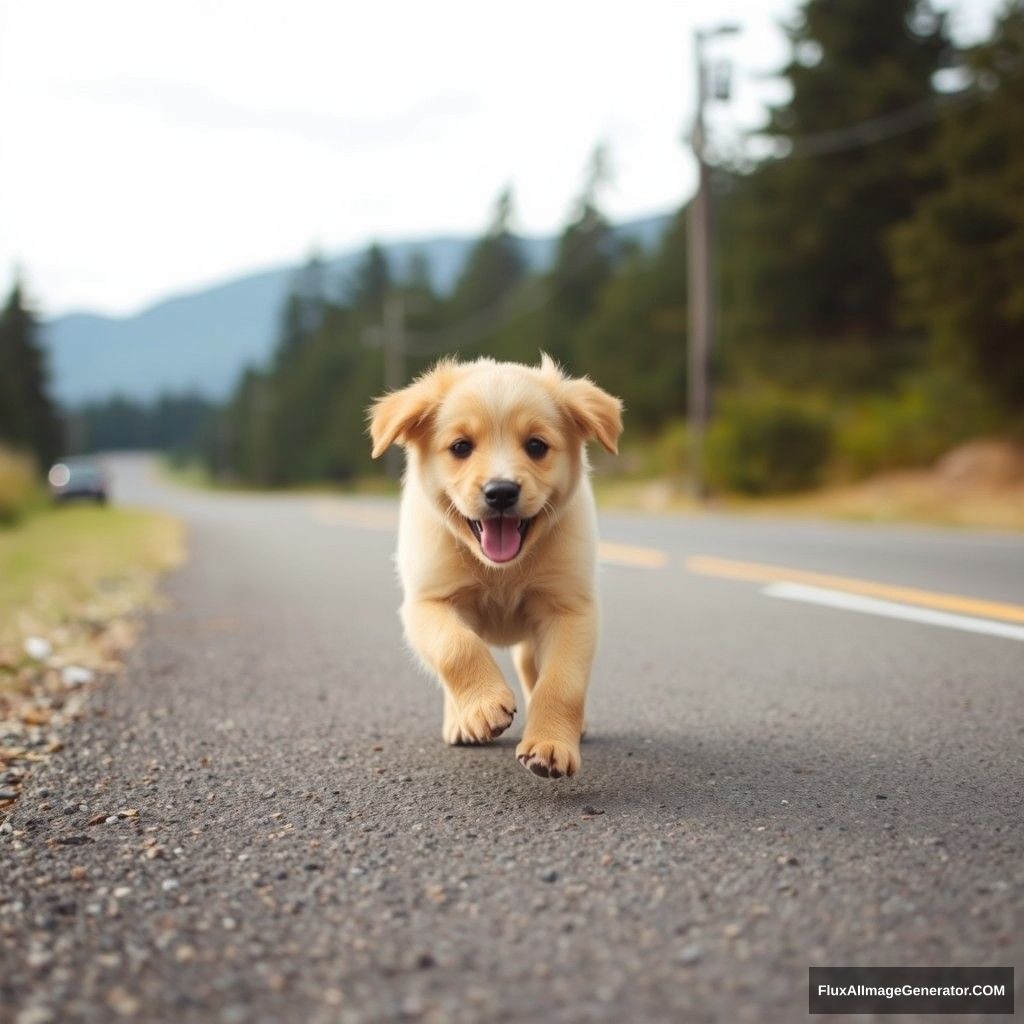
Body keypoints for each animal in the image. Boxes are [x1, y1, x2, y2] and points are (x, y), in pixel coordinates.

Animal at [370, 356, 622, 778]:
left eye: (536, 446)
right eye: (461, 447)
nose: (501, 492)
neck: (502, 570)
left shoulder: (570, 608)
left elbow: (561, 683)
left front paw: (551, 743)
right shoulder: (427, 602)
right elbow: (457, 647)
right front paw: (484, 706)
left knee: (531, 667)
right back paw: (460, 721)